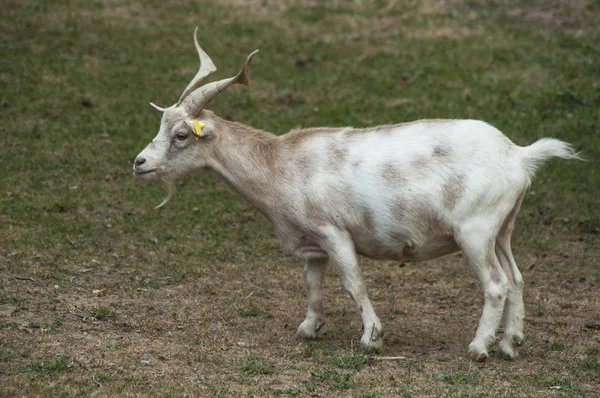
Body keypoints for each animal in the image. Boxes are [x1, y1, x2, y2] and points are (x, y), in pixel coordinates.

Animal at [134, 29, 580, 362]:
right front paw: (308, 329)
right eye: (162, 125)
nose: (139, 163)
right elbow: (313, 285)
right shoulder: (311, 245)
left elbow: (354, 282)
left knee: (496, 283)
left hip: (475, 230)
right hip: (502, 228)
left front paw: (372, 338)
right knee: (517, 277)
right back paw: (510, 344)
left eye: (180, 135)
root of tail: (519, 155)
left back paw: (479, 348)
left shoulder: (334, 232)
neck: (280, 164)